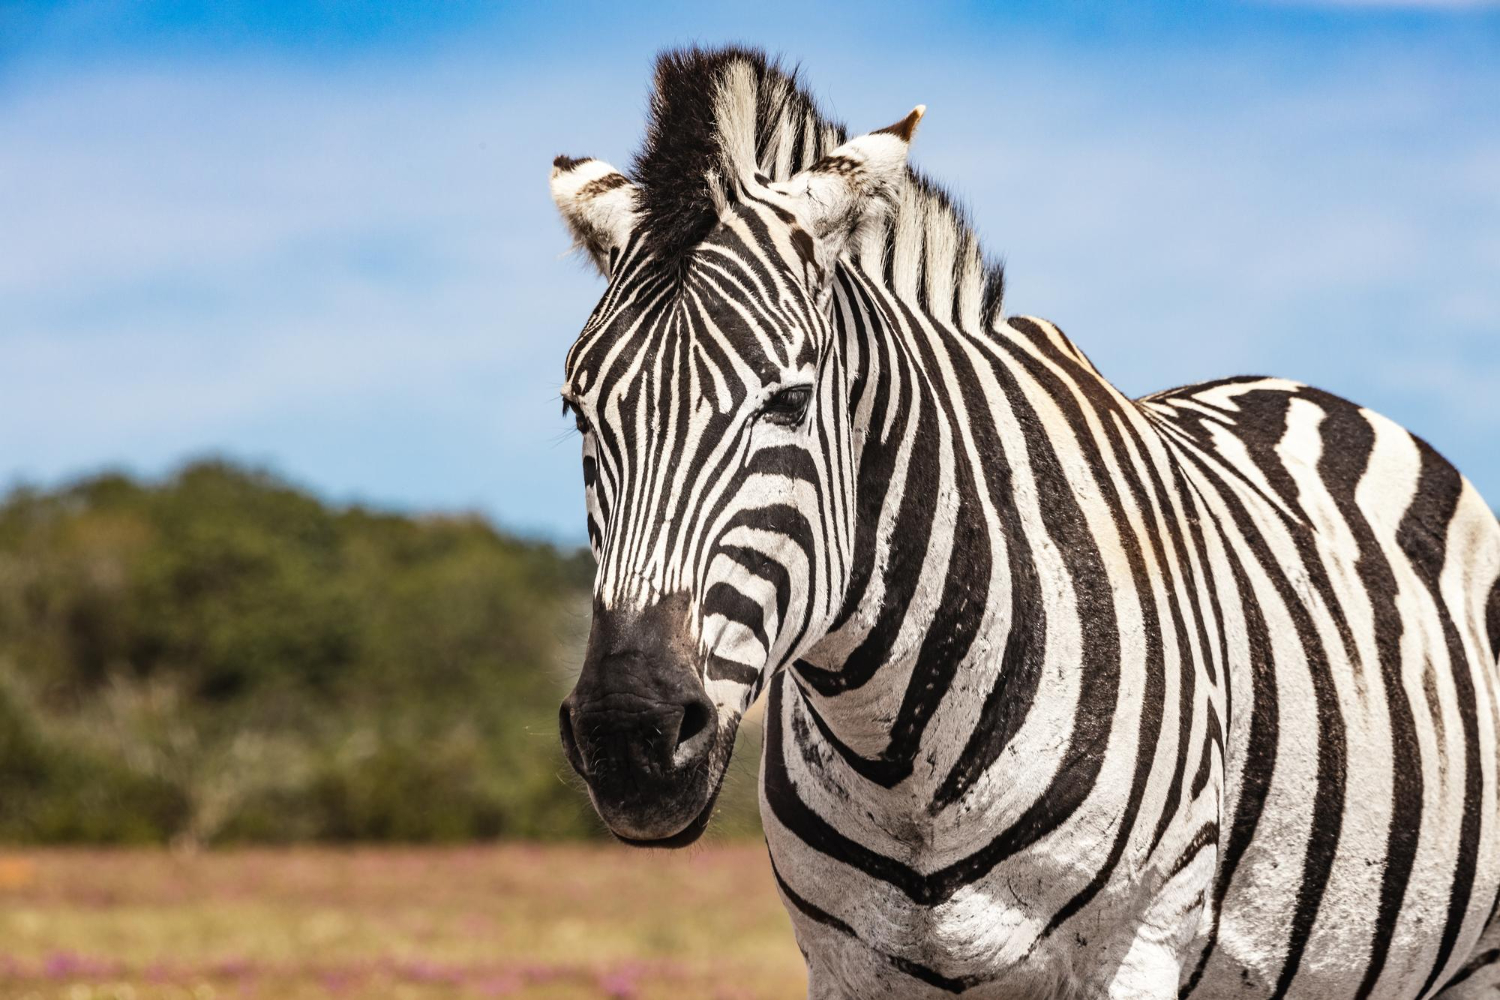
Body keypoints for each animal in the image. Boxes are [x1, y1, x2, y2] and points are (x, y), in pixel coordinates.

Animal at [546, 46, 1500, 999]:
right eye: (578, 413)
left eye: (788, 402)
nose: (629, 736)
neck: (901, 757)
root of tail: (1311, 394)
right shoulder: (846, 965)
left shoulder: (1137, 944)